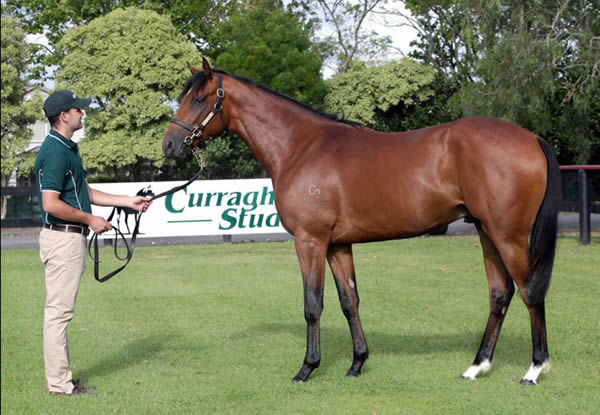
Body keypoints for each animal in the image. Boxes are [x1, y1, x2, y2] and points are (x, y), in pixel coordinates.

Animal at [162, 58, 560, 386]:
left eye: (199, 99)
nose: (169, 145)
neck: (301, 147)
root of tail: (532, 138)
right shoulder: (338, 244)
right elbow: (348, 300)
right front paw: (357, 363)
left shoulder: (310, 241)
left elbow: (313, 304)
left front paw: (307, 368)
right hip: (486, 232)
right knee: (500, 294)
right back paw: (477, 366)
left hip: (508, 235)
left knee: (530, 291)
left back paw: (534, 369)